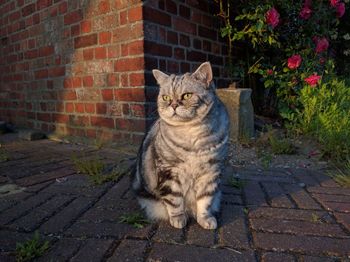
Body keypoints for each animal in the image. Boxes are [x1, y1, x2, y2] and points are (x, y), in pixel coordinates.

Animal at [132, 61, 230, 229]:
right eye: (166, 97)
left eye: (187, 95)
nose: (173, 105)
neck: (190, 133)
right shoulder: (169, 172)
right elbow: (175, 200)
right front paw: (178, 218)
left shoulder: (211, 172)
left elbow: (205, 201)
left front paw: (205, 219)